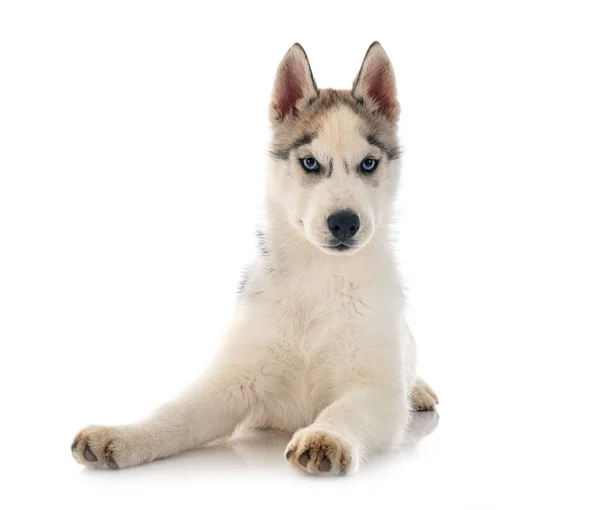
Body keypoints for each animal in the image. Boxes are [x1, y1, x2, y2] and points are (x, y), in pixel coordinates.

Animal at [71, 41, 436, 476]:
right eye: (310, 162)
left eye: (368, 163)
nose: (344, 223)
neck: (320, 276)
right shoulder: (232, 383)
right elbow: (174, 413)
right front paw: (123, 435)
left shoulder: (377, 392)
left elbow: (344, 411)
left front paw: (325, 435)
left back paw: (419, 389)